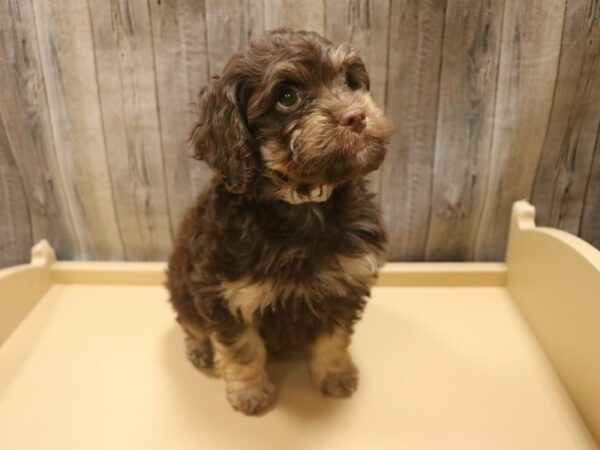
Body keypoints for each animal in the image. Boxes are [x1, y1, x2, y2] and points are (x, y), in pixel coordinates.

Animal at [166, 28, 396, 414]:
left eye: (351, 82)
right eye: (287, 97)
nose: (356, 116)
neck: (302, 202)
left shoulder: (346, 283)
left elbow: (334, 338)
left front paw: (335, 375)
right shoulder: (224, 293)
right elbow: (243, 349)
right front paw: (249, 393)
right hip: (182, 285)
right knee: (191, 321)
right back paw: (199, 348)